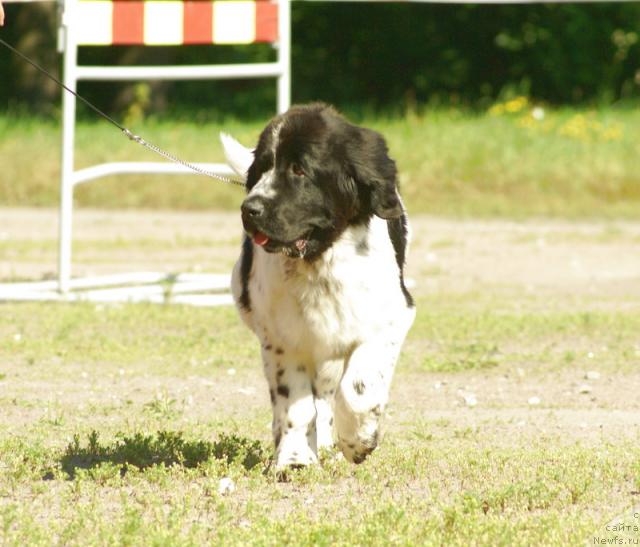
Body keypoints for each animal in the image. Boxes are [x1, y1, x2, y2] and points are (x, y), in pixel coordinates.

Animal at [222, 103, 418, 470]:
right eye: (261, 169)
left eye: (299, 170)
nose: (249, 209)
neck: (319, 260)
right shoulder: (282, 338)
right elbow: (295, 403)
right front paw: (294, 459)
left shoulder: (392, 318)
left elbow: (357, 388)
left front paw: (359, 440)